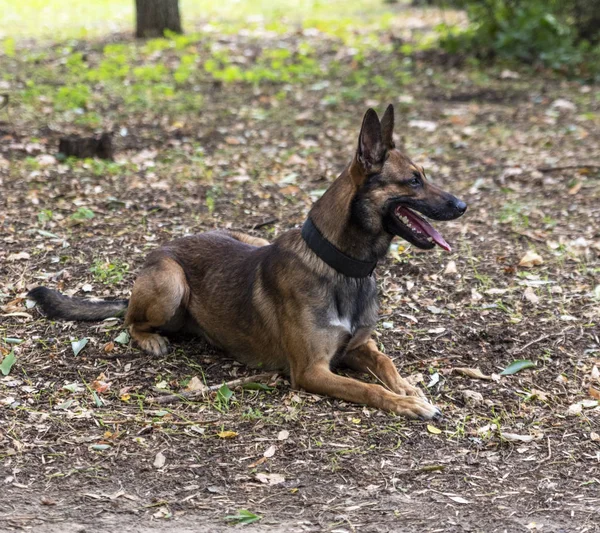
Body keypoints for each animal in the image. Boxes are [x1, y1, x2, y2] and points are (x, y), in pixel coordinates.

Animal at [30, 105, 466, 420]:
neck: (341, 266)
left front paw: (408, 387)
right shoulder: (311, 371)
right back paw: (150, 338)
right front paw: (407, 403)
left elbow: (386, 363)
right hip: (171, 282)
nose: (463, 205)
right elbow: (368, 387)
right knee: (128, 319)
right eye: (414, 181)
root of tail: (164, 250)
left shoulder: (358, 346)